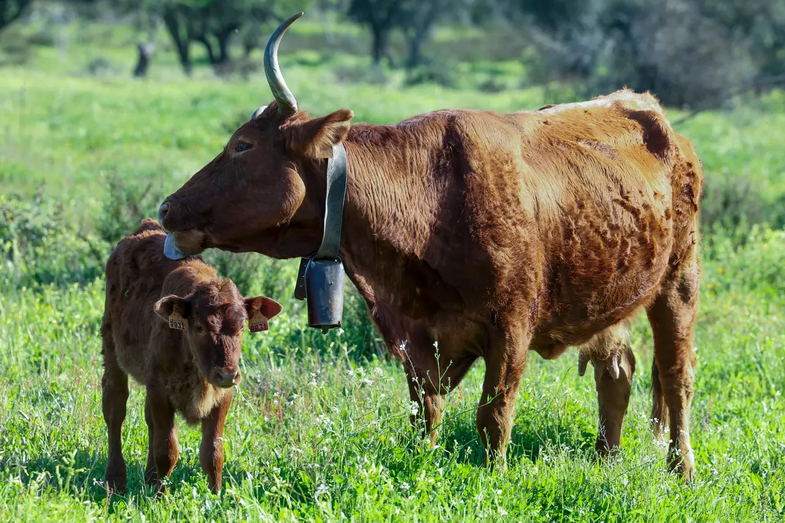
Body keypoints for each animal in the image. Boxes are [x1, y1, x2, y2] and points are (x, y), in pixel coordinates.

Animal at [100, 218, 282, 494]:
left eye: (241, 327)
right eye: (199, 327)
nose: (227, 374)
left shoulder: (222, 396)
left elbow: (213, 453)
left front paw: (215, 496)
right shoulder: (160, 390)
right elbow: (167, 451)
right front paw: (161, 497)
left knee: (148, 421)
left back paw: (148, 479)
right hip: (112, 351)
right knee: (115, 408)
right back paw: (115, 480)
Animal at [157, 14, 703, 479]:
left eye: (243, 145)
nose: (166, 207)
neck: (430, 202)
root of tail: (649, 109)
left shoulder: (511, 328)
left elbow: (493, 416)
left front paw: (494, 482)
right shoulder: (416, 339)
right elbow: (426, 415)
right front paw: (426, 467)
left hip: (679, 283)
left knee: (676, 377)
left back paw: (681, 468)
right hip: (609, 302)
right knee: (617, 374)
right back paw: (606, 459)